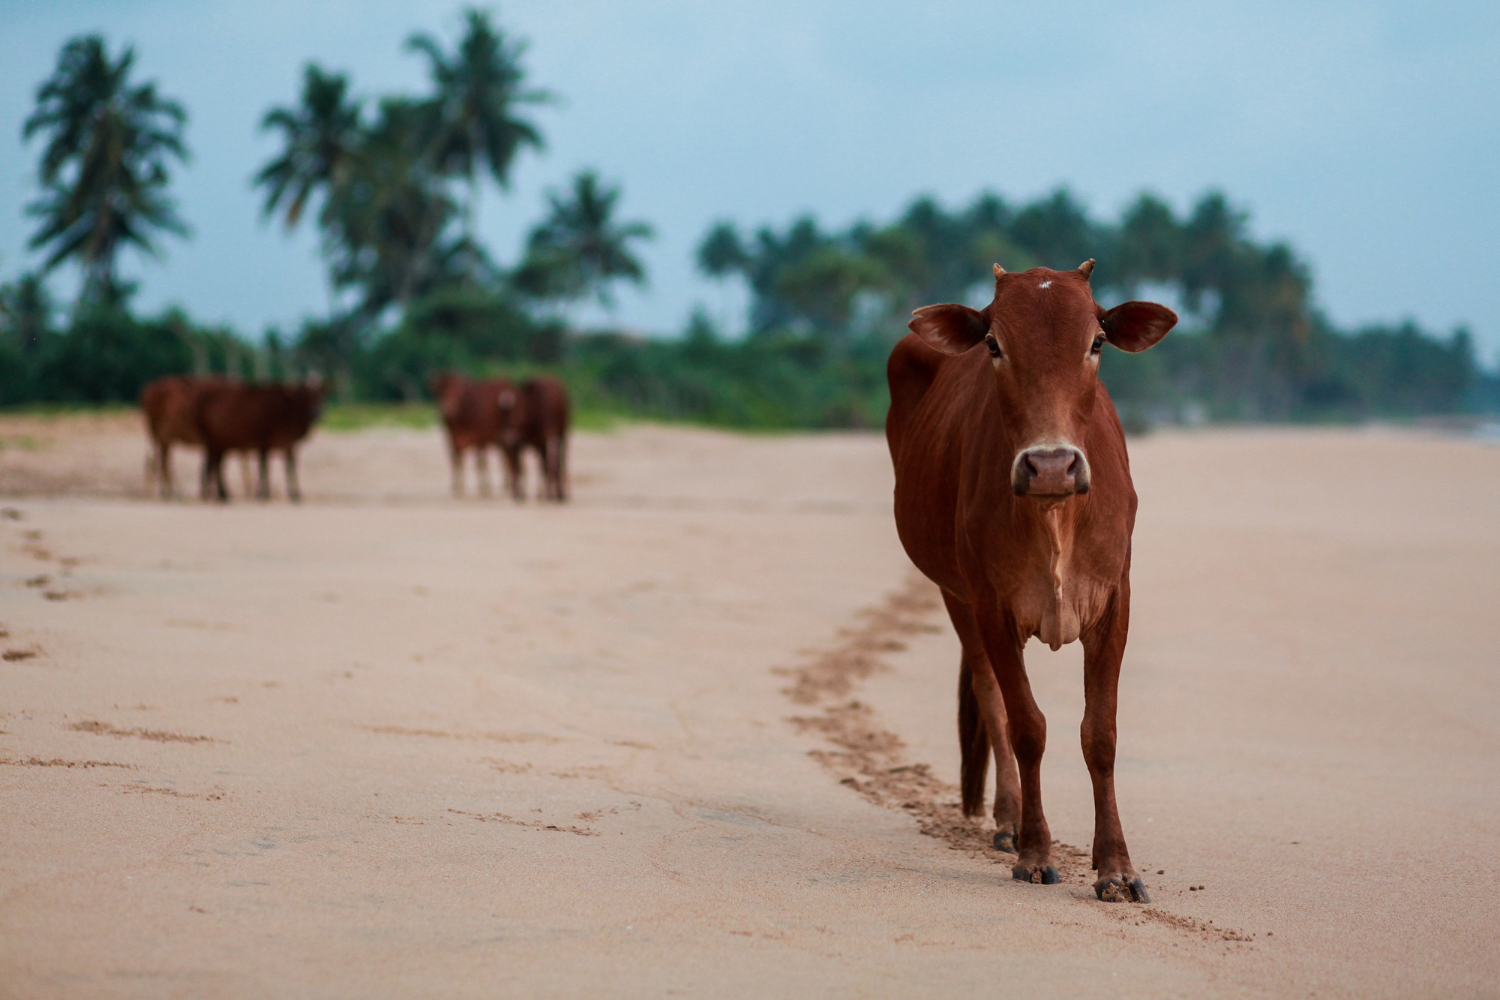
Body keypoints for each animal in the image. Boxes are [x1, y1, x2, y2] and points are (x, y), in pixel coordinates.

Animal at [193, 379, 325, 503]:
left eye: (320, 394)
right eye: (305, 393)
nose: (314, 413)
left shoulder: (289, 444)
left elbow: (290, 467)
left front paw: (295, 495)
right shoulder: (264, 441)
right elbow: (264, 467)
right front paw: (262, 494)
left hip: (220, 443)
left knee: (214, 465)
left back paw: (219, 495)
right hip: (215, 442)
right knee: (213, 466)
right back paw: (217, 495)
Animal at [882, 260, 1176, 905]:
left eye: (1097, 342)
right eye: (995, 344)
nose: (1050, 467)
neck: (1053, 514)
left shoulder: (1114, 601)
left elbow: (1100, 734)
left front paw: (1116, 868)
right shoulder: (991, 605)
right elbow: (1026, 727)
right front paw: (1036, 854)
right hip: (955, 593)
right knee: (990, 697)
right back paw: (1009, 820)